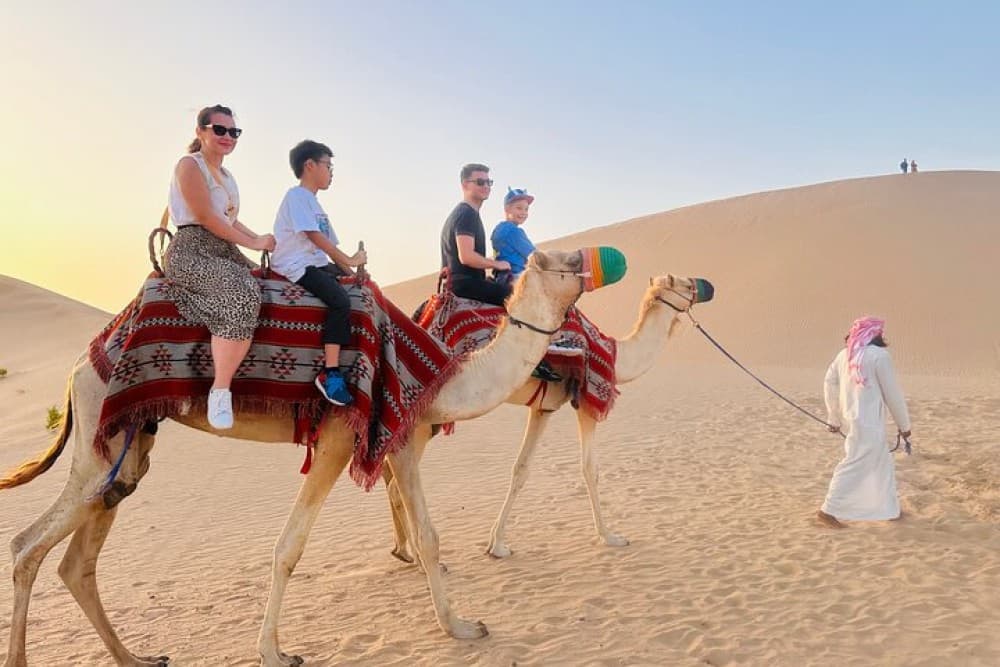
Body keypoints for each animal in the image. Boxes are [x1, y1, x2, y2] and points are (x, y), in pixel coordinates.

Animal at [1, 248, 598, 667]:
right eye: (563, 262)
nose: (594, 263)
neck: (438, 375)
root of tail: (80, 364)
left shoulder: (401, 439)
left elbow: (428, 538)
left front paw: (462, 627)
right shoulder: (338, 439)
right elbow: (289, 547)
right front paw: (273, 651)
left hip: (127, 447)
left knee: (77, 561)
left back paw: (137, 657)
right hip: (99, 427)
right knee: (27, 546)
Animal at [385, 274, 714, 562]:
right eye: (686, 285)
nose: (708, 286)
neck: (616, 355)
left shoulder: (544, 407)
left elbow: (521, 469)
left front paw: (496, 545)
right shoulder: (586, 401)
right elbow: (590, 468)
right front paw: (610, 536)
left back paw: (404, 551)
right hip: (423, 417)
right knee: (394, 482)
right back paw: (417, 557)